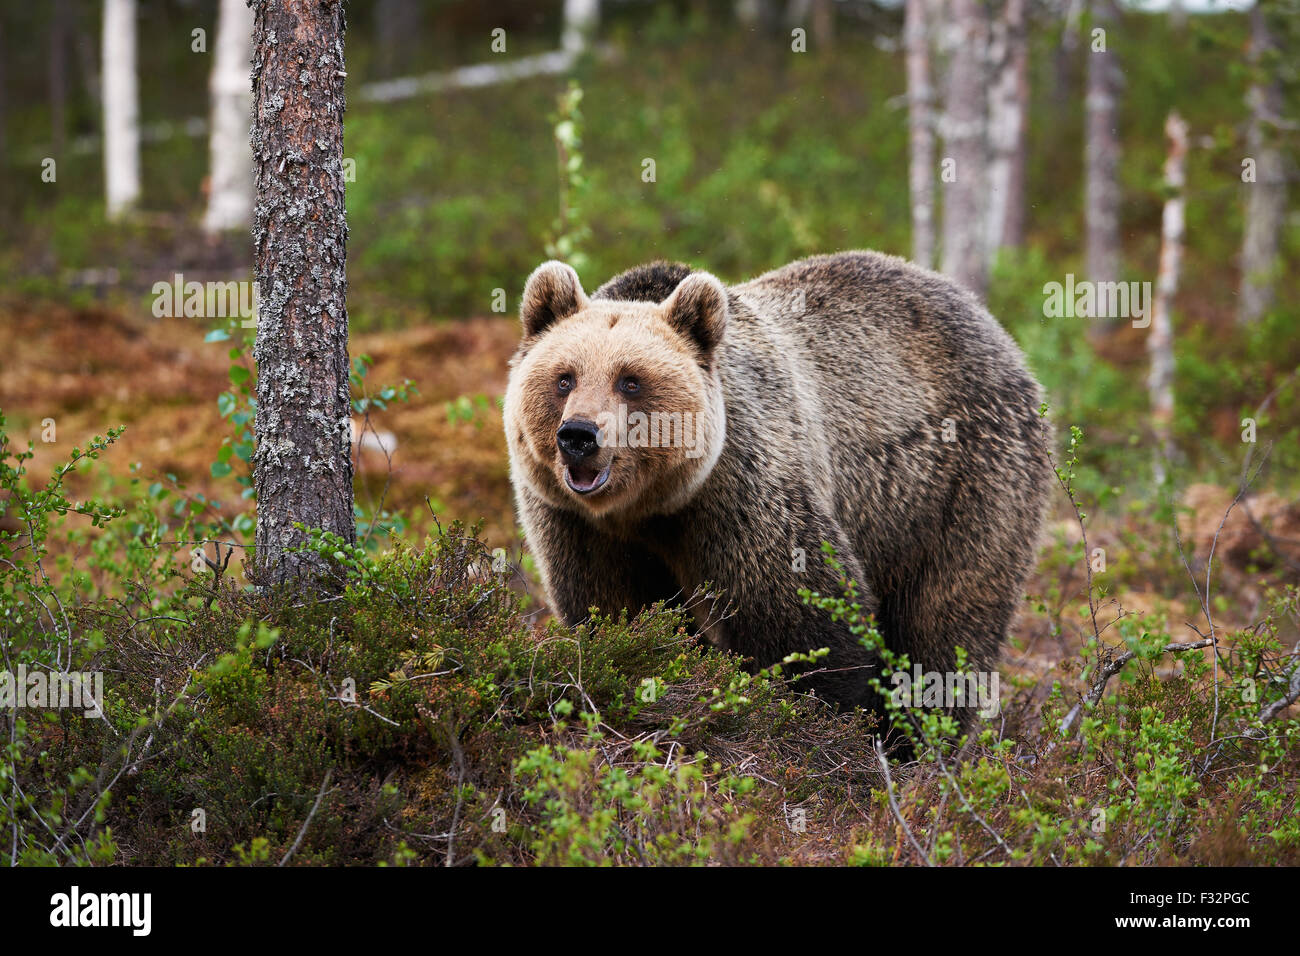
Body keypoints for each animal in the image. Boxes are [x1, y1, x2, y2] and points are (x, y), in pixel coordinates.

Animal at [501, 252, 1050, 717]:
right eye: (565, 378)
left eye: (630, 381)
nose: (578, 435)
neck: (653, 507)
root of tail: (994, 328)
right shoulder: (578, 523)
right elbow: (612, 609)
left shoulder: (744, 489)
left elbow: (802, 616)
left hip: (962, 485)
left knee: (944, 622)